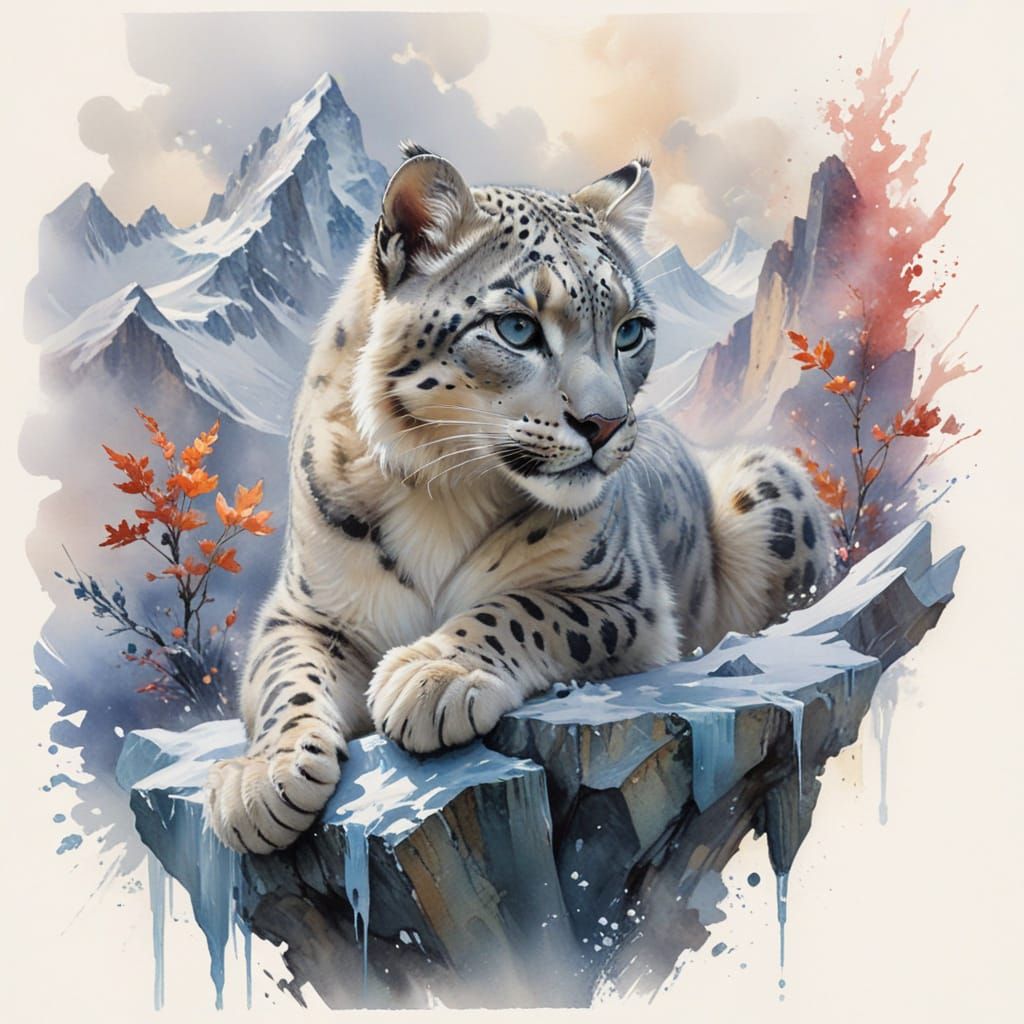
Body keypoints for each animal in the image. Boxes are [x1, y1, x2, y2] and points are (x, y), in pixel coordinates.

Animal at [204, 143, 832, 855]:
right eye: (516, 328)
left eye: (631, 331)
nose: (605, 424)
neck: (440, 492)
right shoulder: (303, 610)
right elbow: (286, 678)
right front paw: (261, 780)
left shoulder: (625, 593)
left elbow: (525, 608)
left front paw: (432, 677)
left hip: (766, 480)